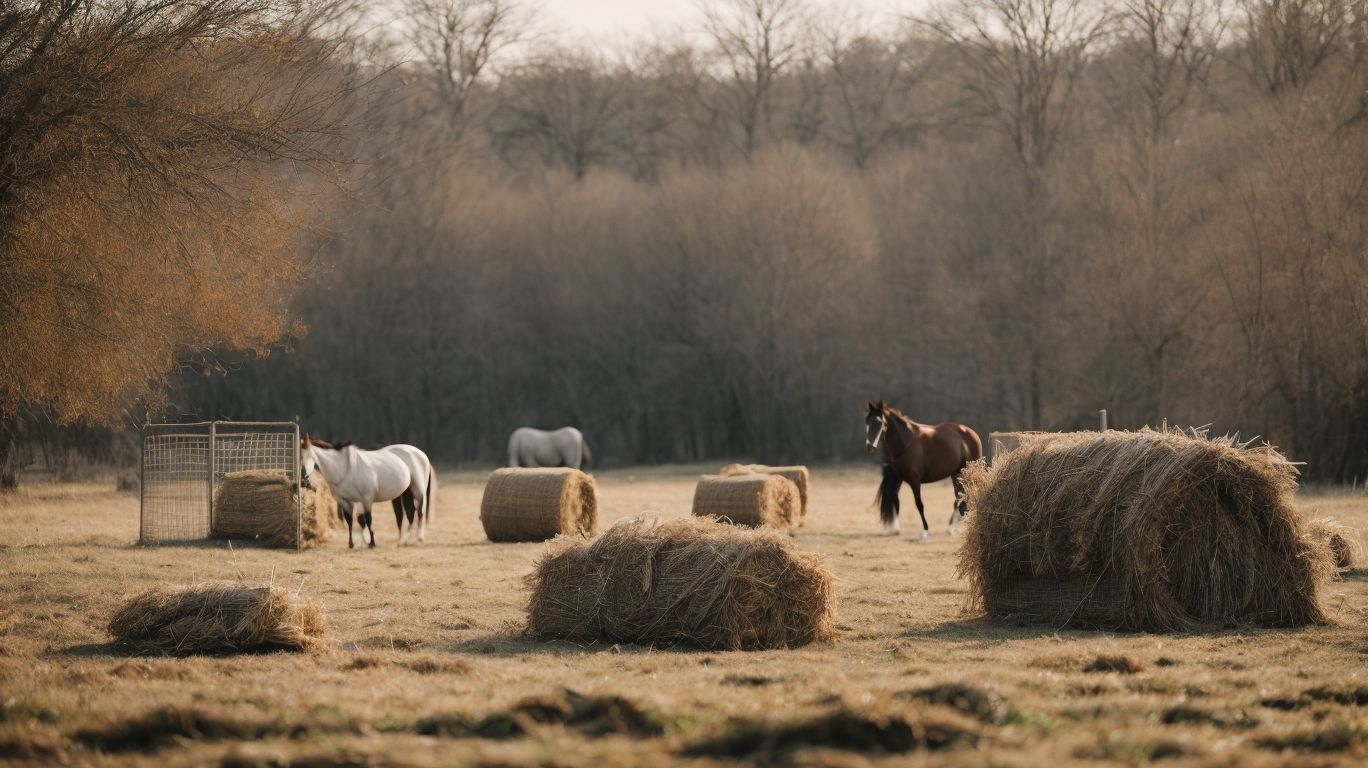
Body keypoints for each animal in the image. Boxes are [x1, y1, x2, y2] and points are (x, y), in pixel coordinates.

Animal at [301, 436, 434, 548]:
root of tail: (421, 453)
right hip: (406, 492)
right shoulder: (345, 501)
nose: (303, 478)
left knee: (420, 512)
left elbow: (368, 520)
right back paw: (404, 540)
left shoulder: (366, 499)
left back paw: (417, 539)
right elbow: (351, 520)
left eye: (307, 455)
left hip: (419, 492)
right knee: (410, 512)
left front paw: (372, 543)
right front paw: (351, 544)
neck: (344, 469)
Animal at [864, 400, 982, 541]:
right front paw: (895, 529)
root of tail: (972, 433)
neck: (906, 442)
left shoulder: (914, 480)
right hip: (956, 473)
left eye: (880, 422)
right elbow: (895, 499)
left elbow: (919, 504)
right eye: (867, 421)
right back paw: (952, 527)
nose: (870, 447)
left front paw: (925, 531)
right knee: (960, 497)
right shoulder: (899, 478)